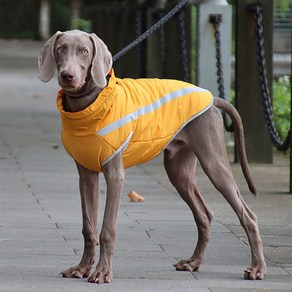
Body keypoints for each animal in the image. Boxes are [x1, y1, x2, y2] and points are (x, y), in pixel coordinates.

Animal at [37, 29, 266, 282]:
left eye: (84, 51)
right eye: (60, 49)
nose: (67, 76)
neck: (89, 105)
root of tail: (212, 98)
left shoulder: (115, 174)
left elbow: (107, 228)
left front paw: (102, 272)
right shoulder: (86, 174)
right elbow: (88, 227)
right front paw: (82, 268)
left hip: (214, 162)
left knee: (248, 215)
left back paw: (257, 268)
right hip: (178, 169)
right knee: (204, 215)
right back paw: (193, 262)